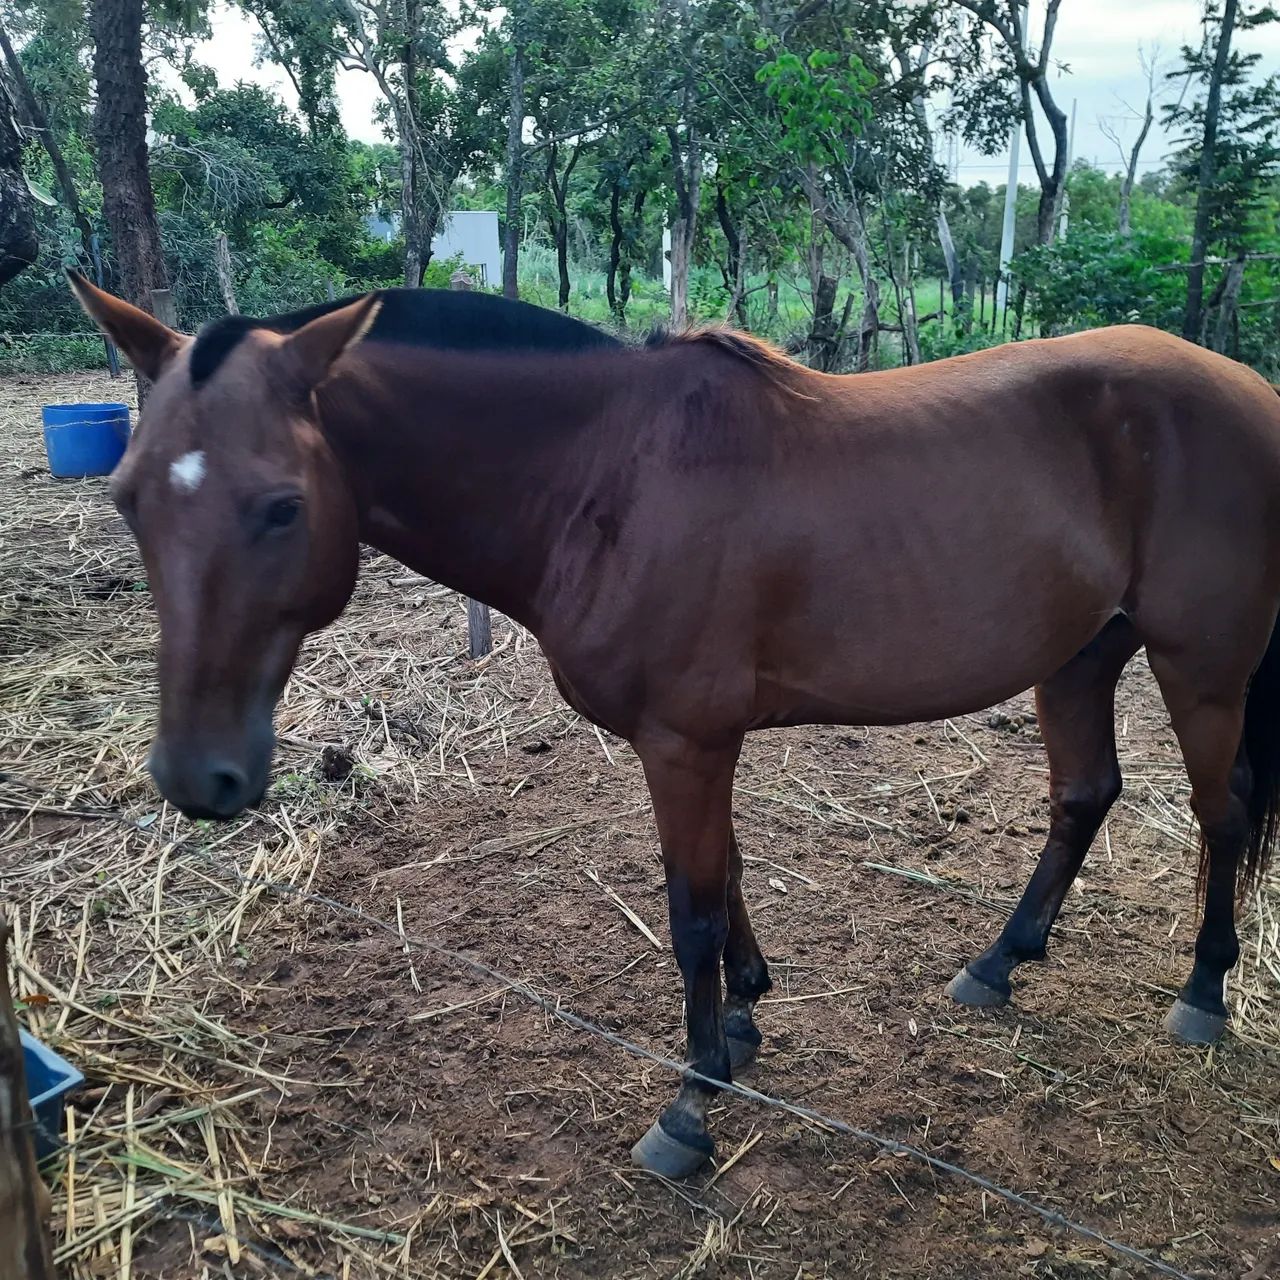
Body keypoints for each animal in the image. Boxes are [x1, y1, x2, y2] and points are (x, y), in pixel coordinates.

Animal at [68, 269, 1280, 1178]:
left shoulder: (684, 741)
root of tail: (1250, 393)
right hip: (1079, 656)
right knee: (1082, 796)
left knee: (1221, 815)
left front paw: (691, 1104)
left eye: (281, 506)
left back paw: (1202, 993)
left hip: (1199, 666)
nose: (197, 777)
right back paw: (998, 962)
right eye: (127, 495)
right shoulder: (703, 744)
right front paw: (742, 1019)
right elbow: (726, 875)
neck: (605, 474)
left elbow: (690, 909)